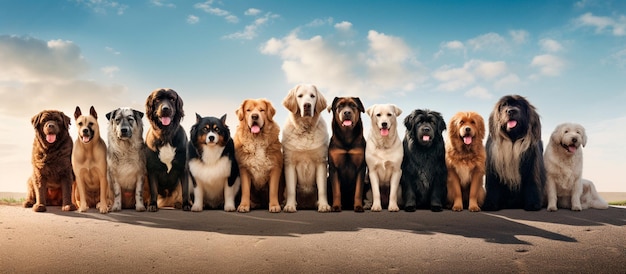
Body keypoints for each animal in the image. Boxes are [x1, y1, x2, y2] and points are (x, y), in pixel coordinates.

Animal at [282, 83, 332, 212]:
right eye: (300, 96)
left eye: (312, 96)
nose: (307, 105)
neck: (305, 128)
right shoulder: (290, 163)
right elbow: (291, 190)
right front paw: (290, 206)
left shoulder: (321, 162)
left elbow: (322, 189)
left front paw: (324, 205)